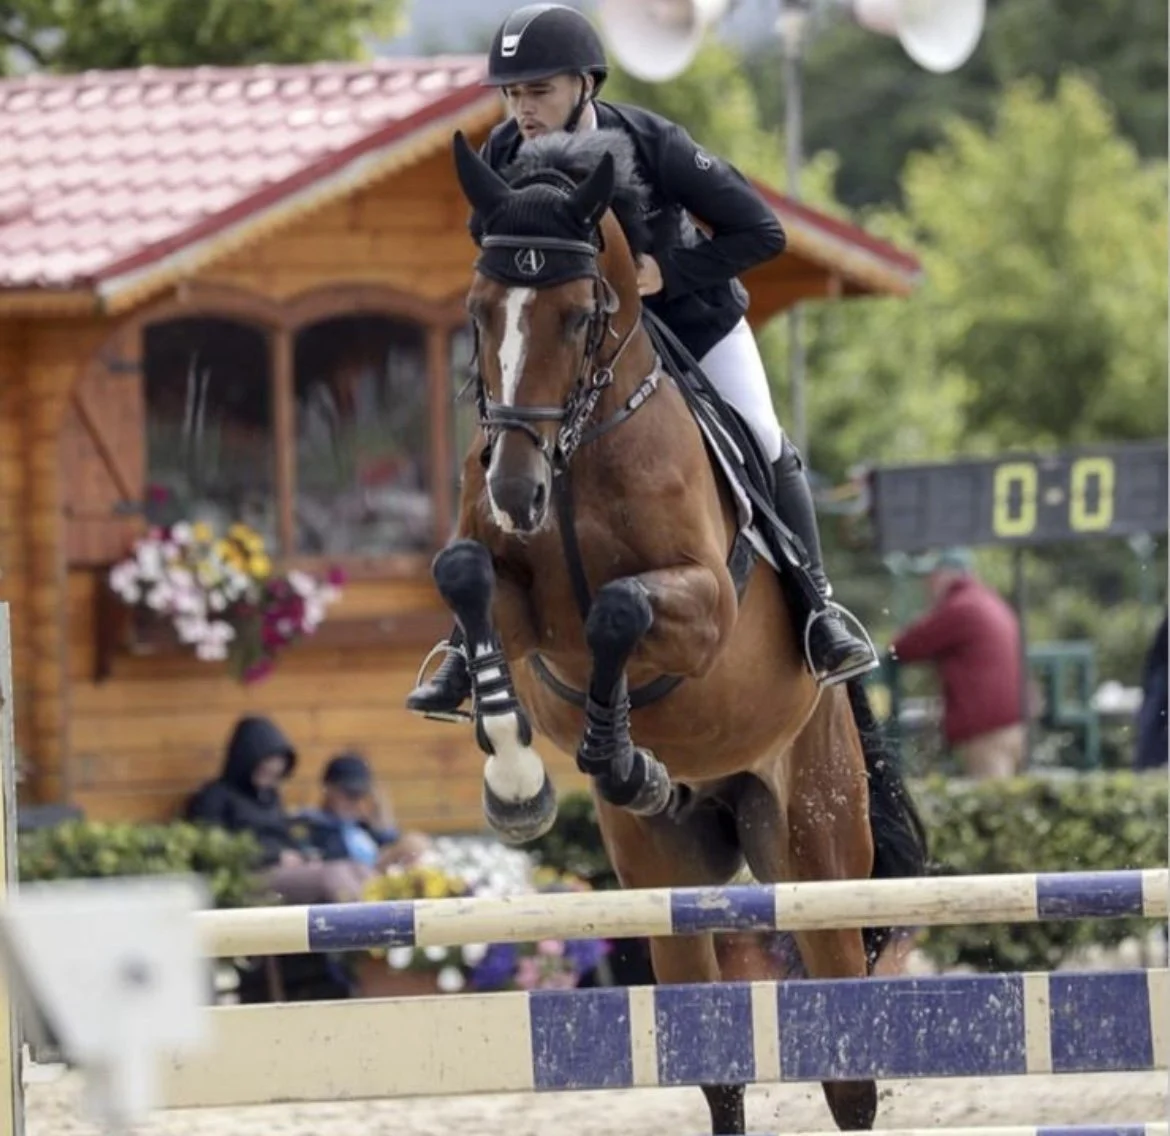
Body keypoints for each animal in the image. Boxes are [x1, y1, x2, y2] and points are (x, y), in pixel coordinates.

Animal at [427, 125, 928, 1135]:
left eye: (579, 315)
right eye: (478, 310)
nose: (515, 491)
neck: (577, 450)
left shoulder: (703, 607)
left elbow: (618, 611)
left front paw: (614, 754)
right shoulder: (522, 608)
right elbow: (467, 580)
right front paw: (516, 774)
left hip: (817, 852)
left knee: (848, 1067)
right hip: (665, 875)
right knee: (716, 1060)